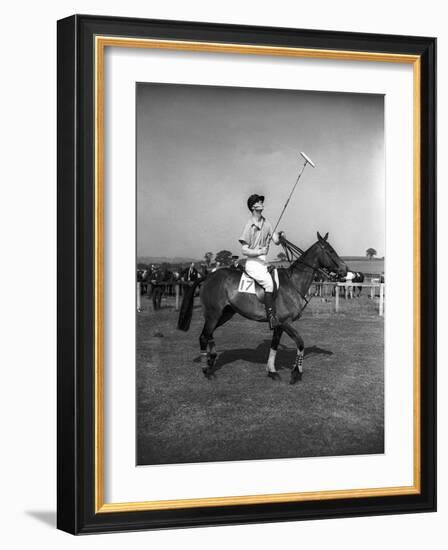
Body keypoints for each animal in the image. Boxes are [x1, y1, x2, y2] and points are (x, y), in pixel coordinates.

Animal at [177, 232, 348, 384]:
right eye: (330, 250)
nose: (345, 269)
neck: (293, 282)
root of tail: (208, 276)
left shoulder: (278, 325)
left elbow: (274, 346)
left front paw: (272, 371)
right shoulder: (285, 322)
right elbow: (300, 343)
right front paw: (296, 373)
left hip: (225, 313)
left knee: (209, 334)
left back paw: (211, 359)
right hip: (213, 314)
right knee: (204, 336)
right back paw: (206, 369)